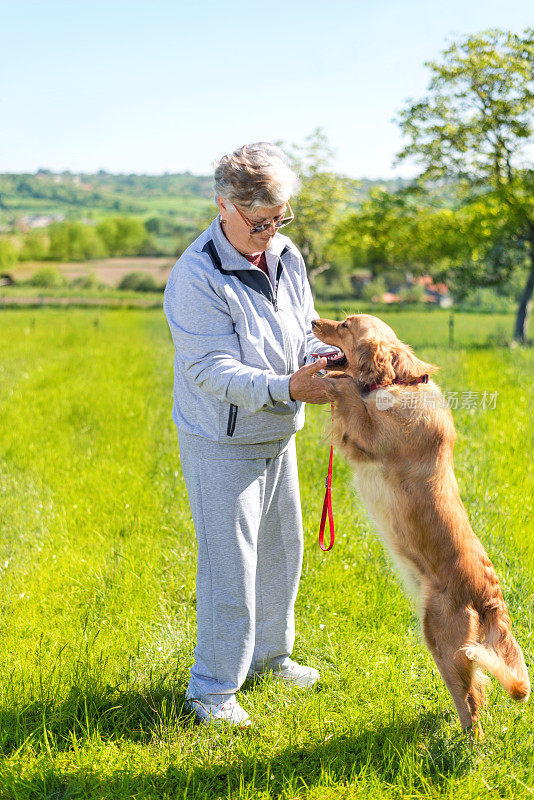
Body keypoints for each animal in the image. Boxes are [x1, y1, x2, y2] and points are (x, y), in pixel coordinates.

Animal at [314, 312, 532, 736]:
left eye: (345, 325)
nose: (315, 320)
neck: (400, 381)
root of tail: (489, 592)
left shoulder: (368, 437)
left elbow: (348, 391)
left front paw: (334, 380)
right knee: (476, 691)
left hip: (441, 636)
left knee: (472, 702)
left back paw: (464, 743)